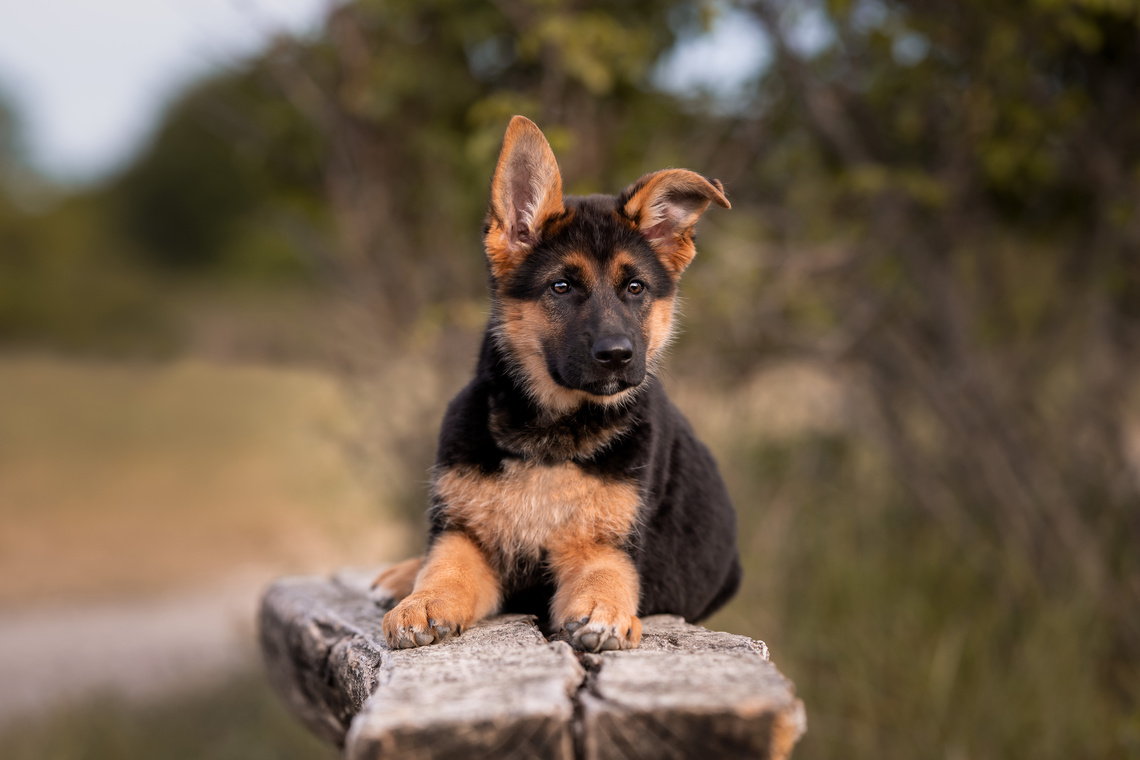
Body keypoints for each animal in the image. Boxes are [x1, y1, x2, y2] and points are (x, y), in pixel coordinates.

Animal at [376, 114, 738, 656]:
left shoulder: (606, 546)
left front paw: (604, 613)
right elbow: (444, 568)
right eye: (561, 287)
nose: (616, 356)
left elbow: (605, 578)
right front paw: (422, 602)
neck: (551, 432)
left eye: (635, 288)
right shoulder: (466, 536)